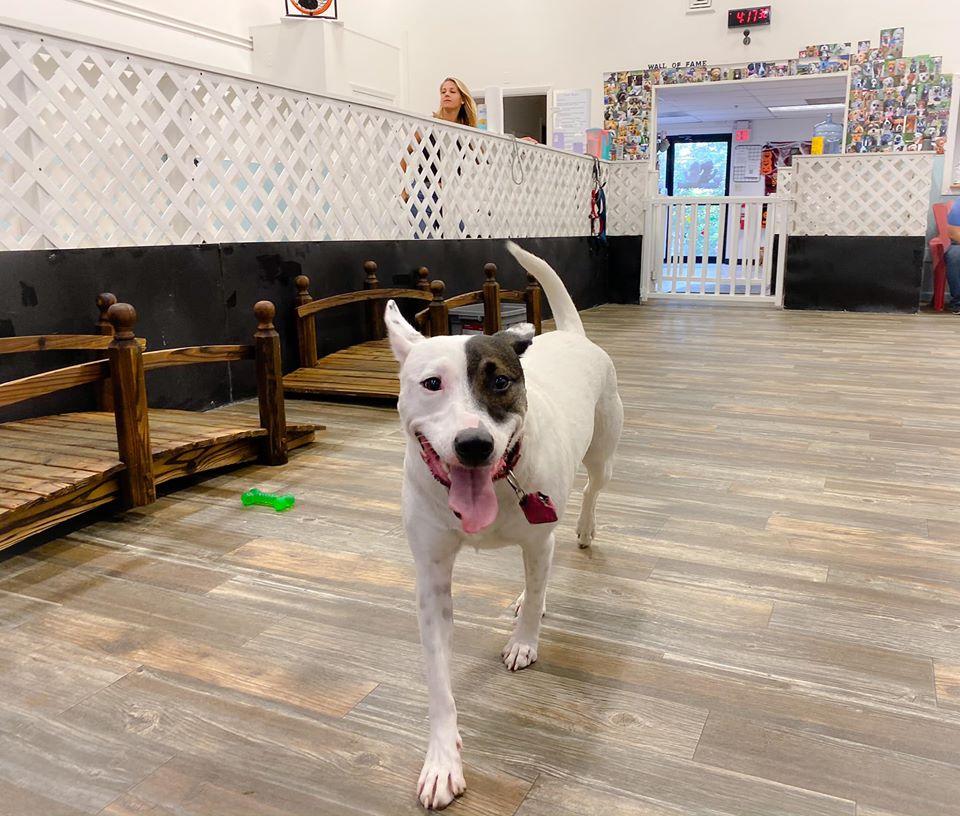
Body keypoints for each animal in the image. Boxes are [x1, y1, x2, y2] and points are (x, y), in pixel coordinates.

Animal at [386, 242, 628, 808]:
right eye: (431, 383)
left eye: (500, 381)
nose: (474, 444)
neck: (496, 484)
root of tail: (571, 335)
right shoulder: (431, 579)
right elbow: (438, 682)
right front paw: (442, 759)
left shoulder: (539, 539)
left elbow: (539, 592)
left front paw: (525, 641)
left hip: (602, 454)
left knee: (590, 494)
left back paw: (584, 531)